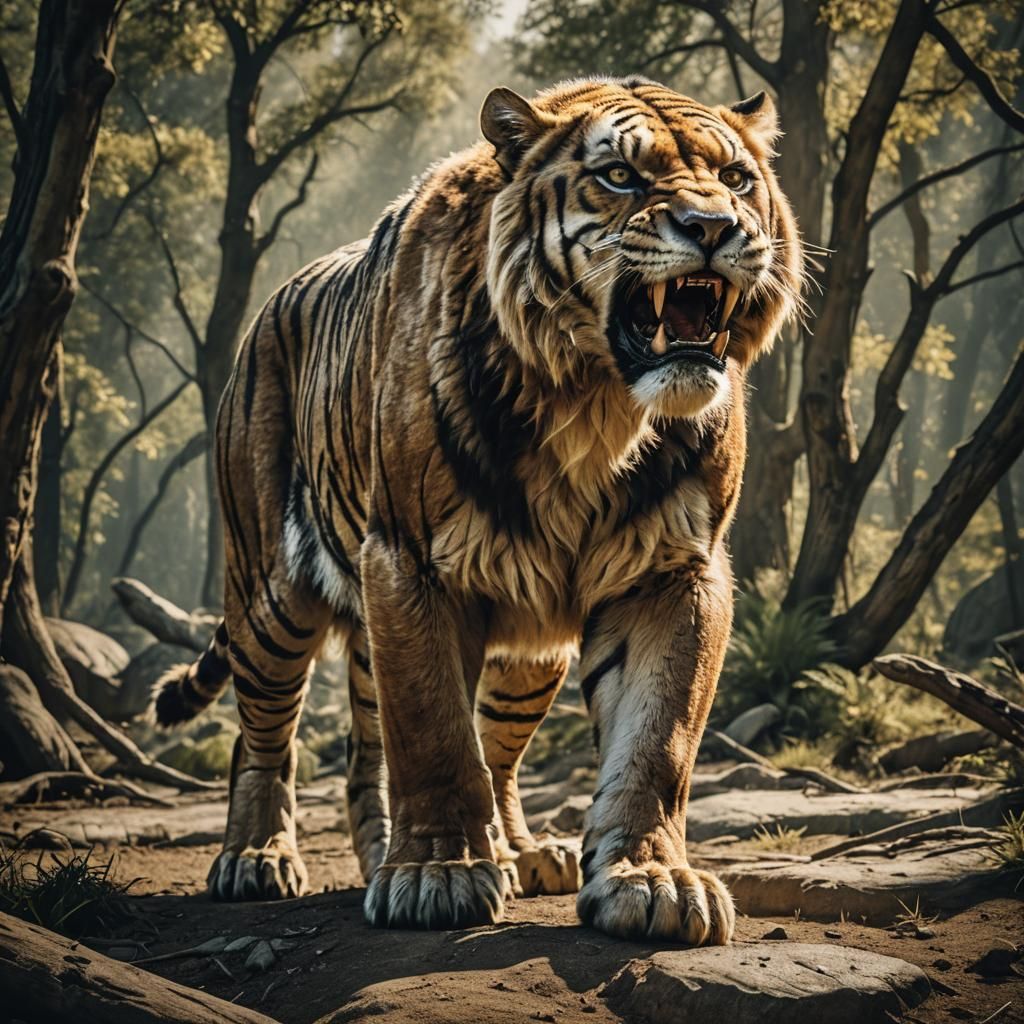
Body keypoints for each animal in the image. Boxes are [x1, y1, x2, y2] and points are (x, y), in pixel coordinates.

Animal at [154, 75, 803, 945]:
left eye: (735, 180)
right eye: (622, 177)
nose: (714, 227)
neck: (597, 407)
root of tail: (267, 308)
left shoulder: (674, 572)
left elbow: (656, 742)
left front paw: (652, 880)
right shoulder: (408, 564)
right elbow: (432, 733)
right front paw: (439, 874)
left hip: (529, 656)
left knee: (473, 757)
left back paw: (512, 853)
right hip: (270, 602)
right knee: (263, 739)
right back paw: (257, 859)